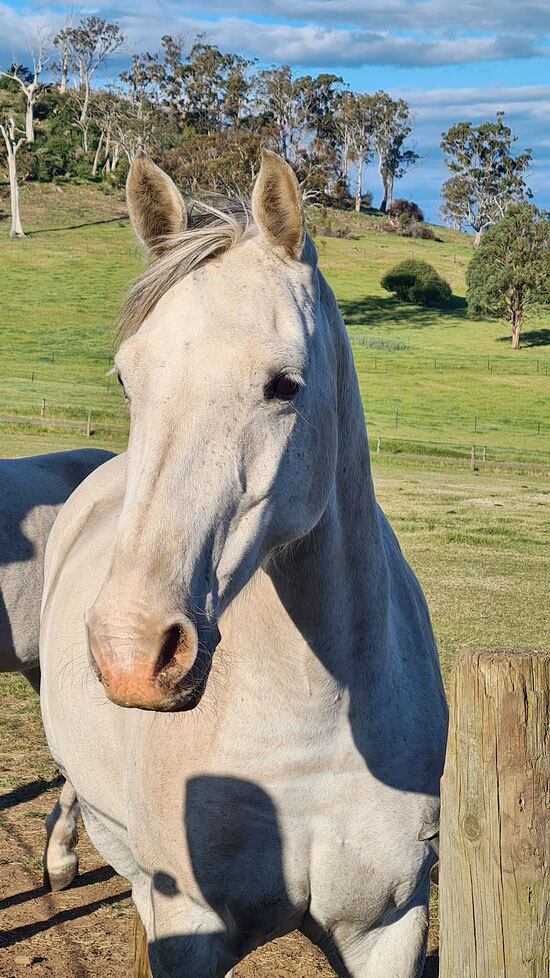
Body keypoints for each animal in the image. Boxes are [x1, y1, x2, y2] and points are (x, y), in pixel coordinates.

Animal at [42, 154, 448, 976]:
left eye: (284, 384)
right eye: (127, 380)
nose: (133, 652)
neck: (312, 727)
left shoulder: (392, 924)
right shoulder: (188, 925)